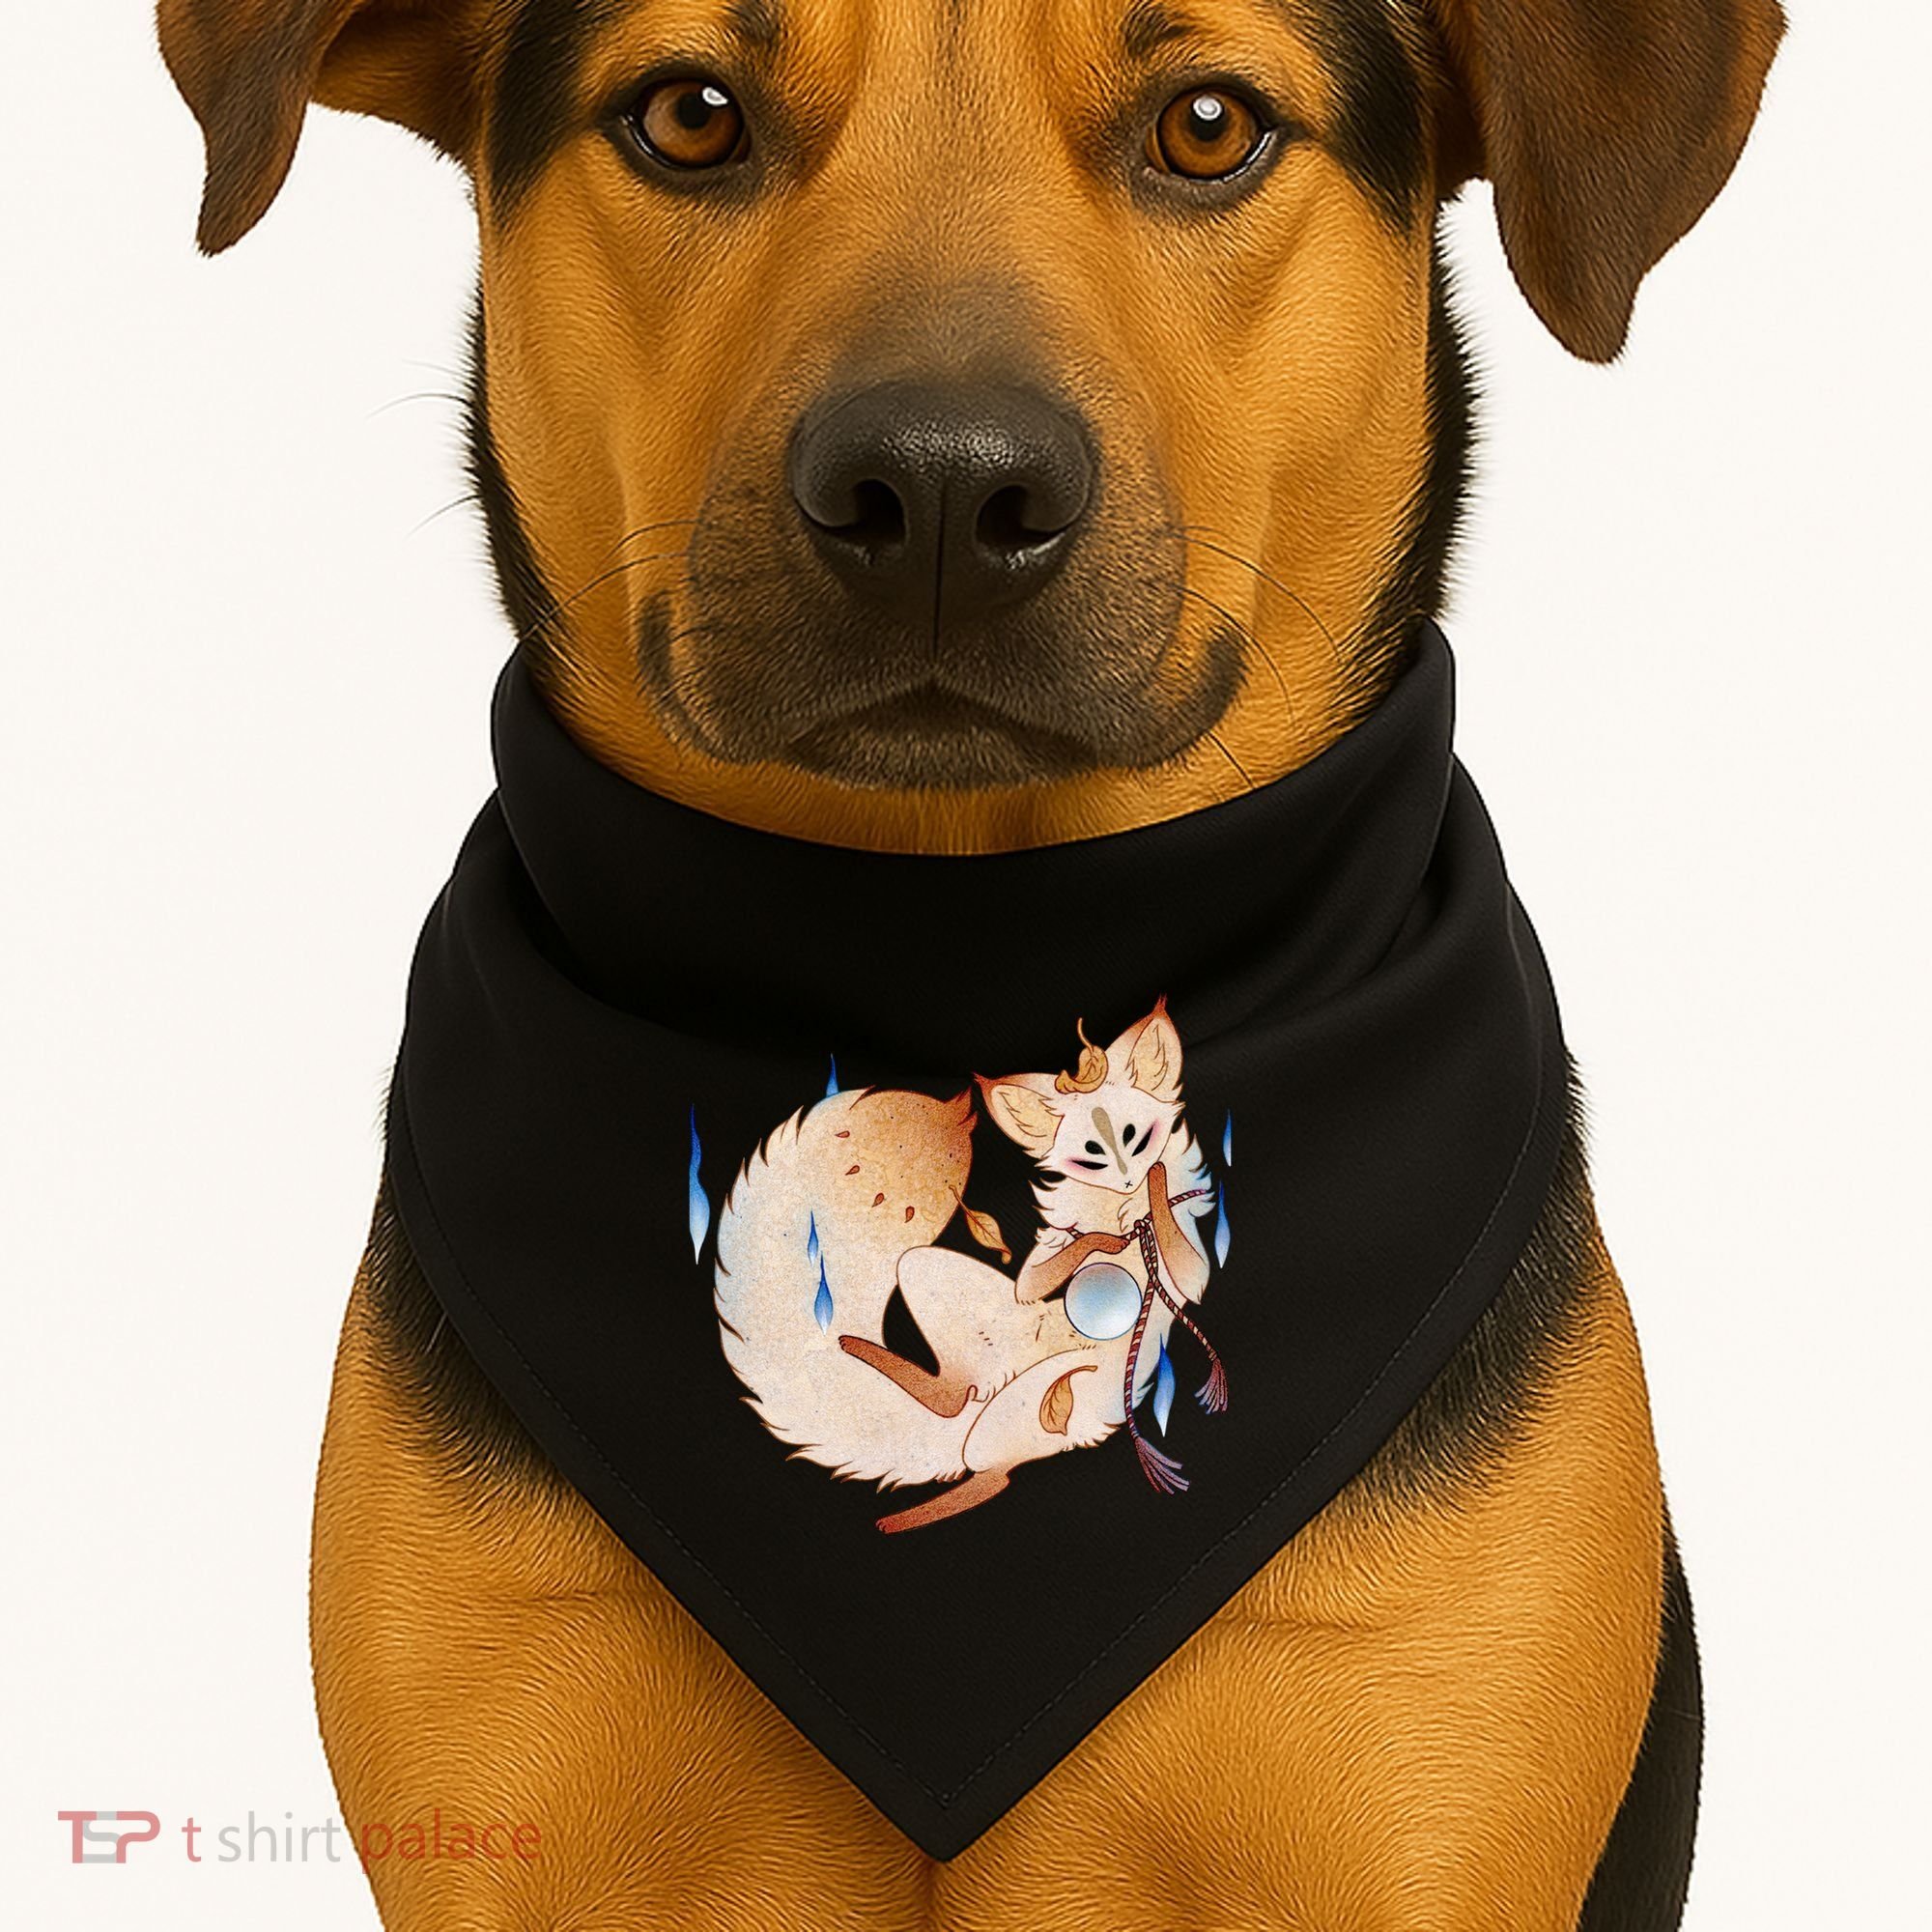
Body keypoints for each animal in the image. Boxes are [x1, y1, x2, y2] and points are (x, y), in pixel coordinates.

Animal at [713, 1001, 1223, 1531]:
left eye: (1137, 1139)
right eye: (1091, 1158)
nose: (1126, 1179)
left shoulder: (1187, 1255)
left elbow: (1189, 1268)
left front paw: (1152, 1191)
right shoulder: (1043, 1264)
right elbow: (1033, 1279)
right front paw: (1109, 1233)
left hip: (1048, 1396)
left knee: (993, 1469)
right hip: (943, 1297)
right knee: (959, 1411)